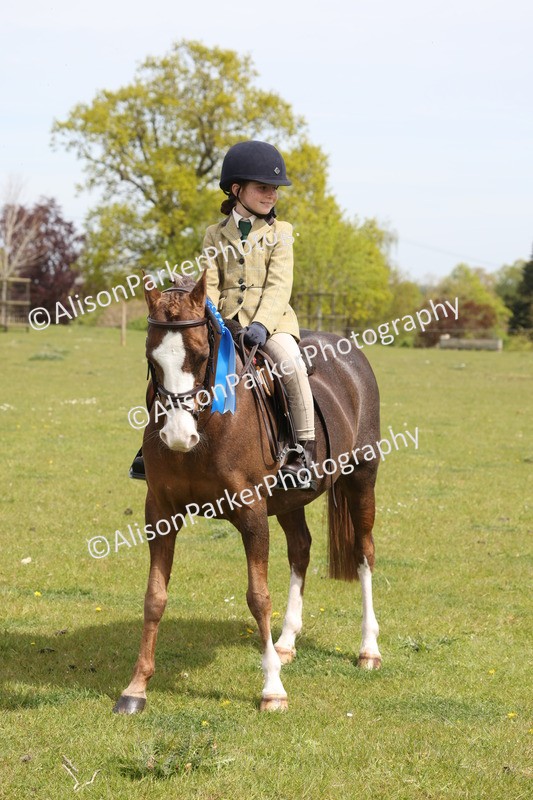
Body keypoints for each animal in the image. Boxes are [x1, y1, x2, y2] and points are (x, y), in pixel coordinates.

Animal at [113, 271, 382, 713]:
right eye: (152, 361)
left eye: (200, 356)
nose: (178, 436)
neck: (209, 427)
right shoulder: (161, 513)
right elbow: (154, 597)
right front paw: (135, 689)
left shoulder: (253, 513)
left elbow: (258, 597)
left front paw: (272, 689)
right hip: (289, 501)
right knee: (301, 550)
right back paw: (286, 643)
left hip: (362, 478)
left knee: (364, 554)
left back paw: (368, 649)